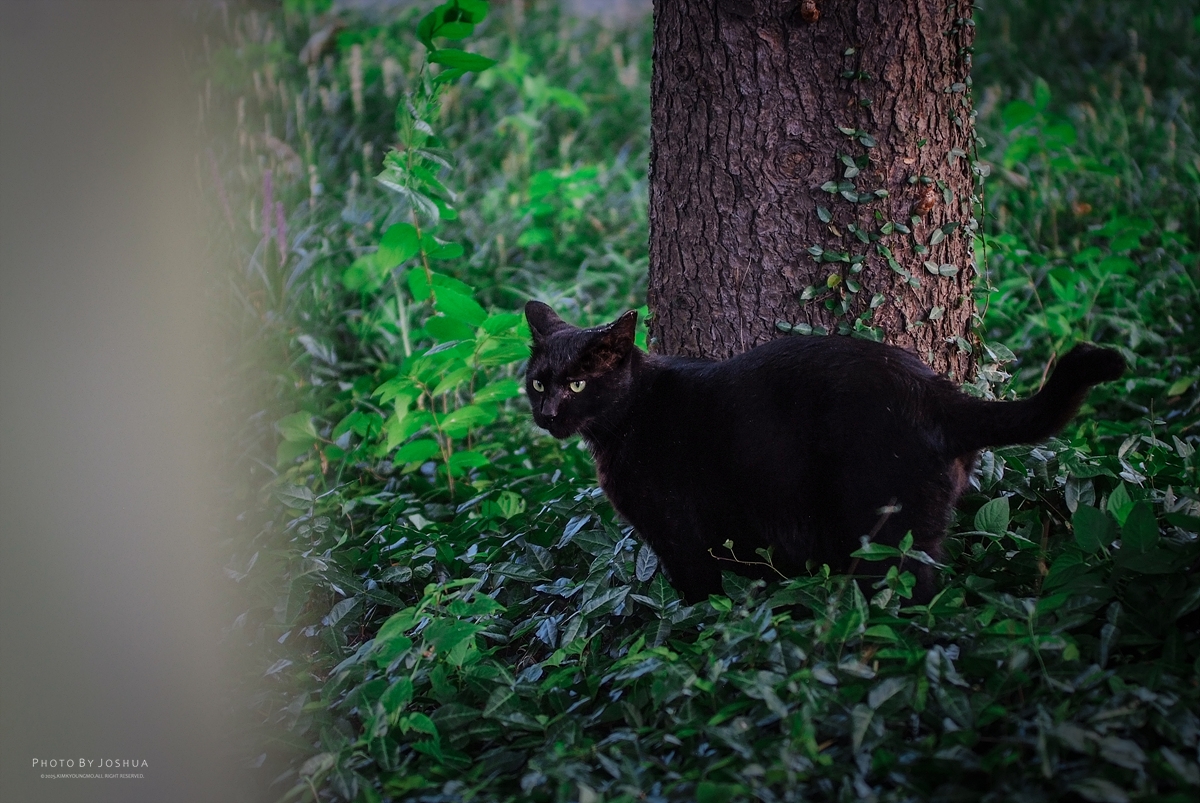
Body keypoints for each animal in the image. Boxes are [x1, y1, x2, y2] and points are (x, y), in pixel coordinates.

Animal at [523, 301, 1125, 604]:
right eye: (537, 383)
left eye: (577, 385)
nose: (548, 412)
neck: (624, 420)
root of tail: (937, 392)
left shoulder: (679, 535)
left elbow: (700, 595)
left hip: (882, 531)